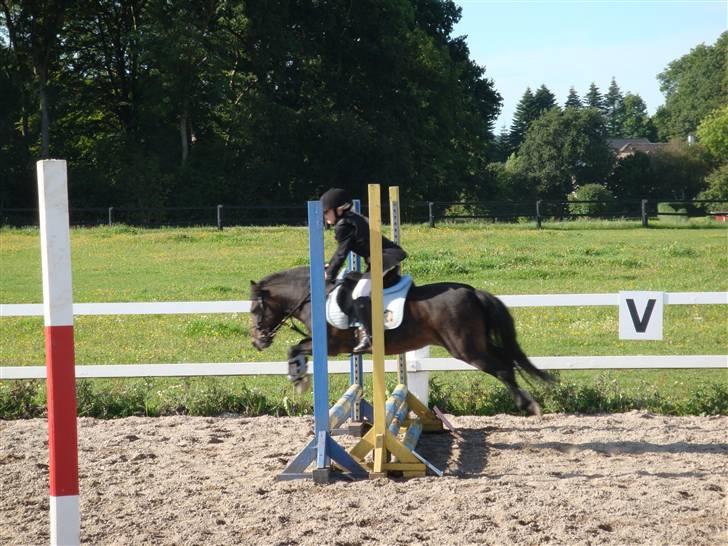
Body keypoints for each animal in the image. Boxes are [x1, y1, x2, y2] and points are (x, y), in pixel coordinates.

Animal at [250, 266, 552, 412]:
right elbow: (295, 349)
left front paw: (298, 379)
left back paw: (529, 405)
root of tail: (473, 292)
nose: (257, 342)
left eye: (254, 309)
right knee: (508, 363)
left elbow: (295, 348)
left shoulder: (330, 345)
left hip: (466, 349)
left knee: (502, 368)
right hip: (477, 344)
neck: (314, 296)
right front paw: (298, 378)